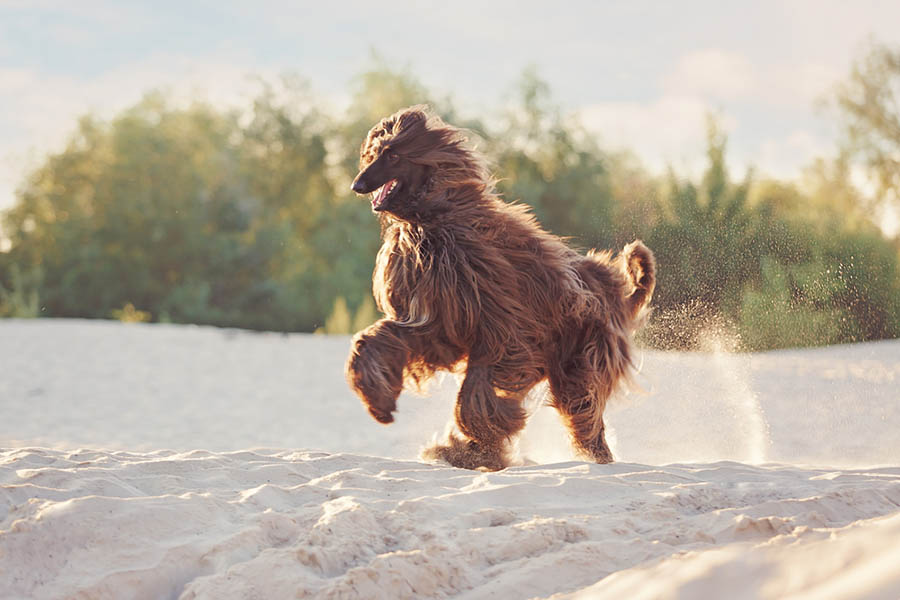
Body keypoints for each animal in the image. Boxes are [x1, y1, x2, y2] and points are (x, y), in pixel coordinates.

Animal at [344, 108, 652, 474]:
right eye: (374, 153)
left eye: (393, 155)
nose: (357, 185)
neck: (433, 220)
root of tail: (619, 296)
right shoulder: (437, 323)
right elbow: (378, 338)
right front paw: (378, 400)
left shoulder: (504, 332)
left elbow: (477, 393)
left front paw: (474, 450)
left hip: (582, 358)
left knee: (584, 412)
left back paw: (596, 459)